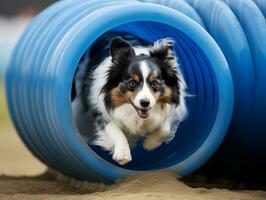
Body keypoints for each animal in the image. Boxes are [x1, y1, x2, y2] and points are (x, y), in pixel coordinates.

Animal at [70, 35, 187, 165]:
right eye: (132, 83)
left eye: (155, 84)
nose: (145, 103)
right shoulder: (100, 113)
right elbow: (116, 131)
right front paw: (123, 154)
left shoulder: (172, 111)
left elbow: (165, 128)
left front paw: (150, 144)